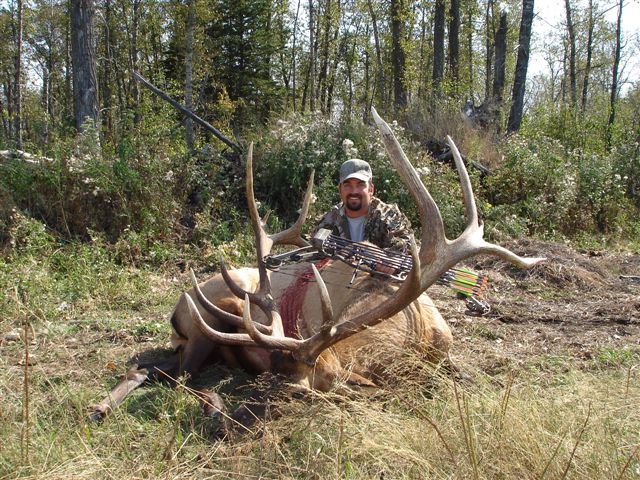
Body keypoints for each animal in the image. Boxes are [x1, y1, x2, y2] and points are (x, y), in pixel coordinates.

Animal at [88, 108, 543, 423]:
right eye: (263, 383)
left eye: (299, 394)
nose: (231, 424)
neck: (414, 333)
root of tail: (175, 307)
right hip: (208, 324)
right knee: (172, 374)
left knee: (151, 368)